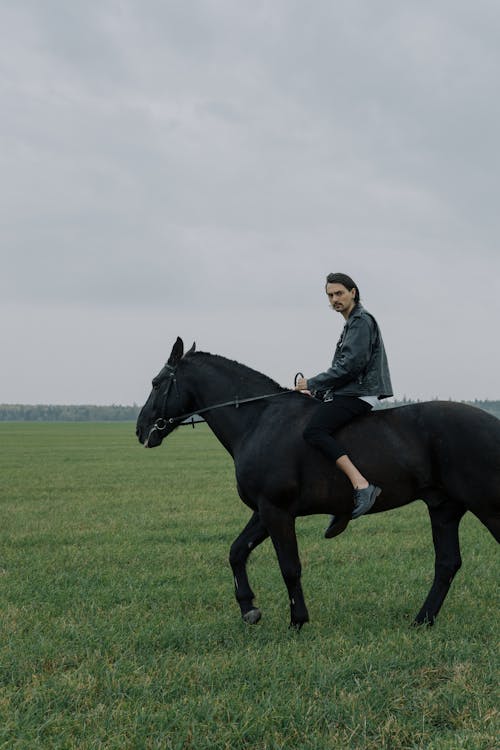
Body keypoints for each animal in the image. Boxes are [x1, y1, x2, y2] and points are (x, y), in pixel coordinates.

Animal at [137, 340, 500, 628]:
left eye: (156, 382)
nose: (141, 430)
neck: (259, 420)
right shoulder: (264, 511)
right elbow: (236, 552)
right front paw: (249, 608)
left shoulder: (277, 511)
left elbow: (289, 567)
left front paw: (297, 620)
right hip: (444, 509)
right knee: (447, 564)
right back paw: (422, 620)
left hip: (485, 504)